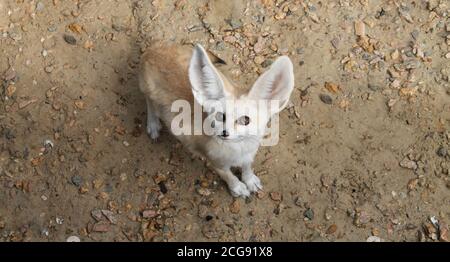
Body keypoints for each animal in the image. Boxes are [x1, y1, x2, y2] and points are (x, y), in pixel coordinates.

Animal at [141, 42, 296, 198]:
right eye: (220, 116)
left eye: (245, 120)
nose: (224, 133)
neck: (238, 150)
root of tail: (155, 47)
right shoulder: (216, 163)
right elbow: (229, 176)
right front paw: (238, 187)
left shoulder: (249, 155)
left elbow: (247, 168)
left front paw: (250, 180)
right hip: (149, 91)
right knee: (149, 103)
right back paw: (153, 124)